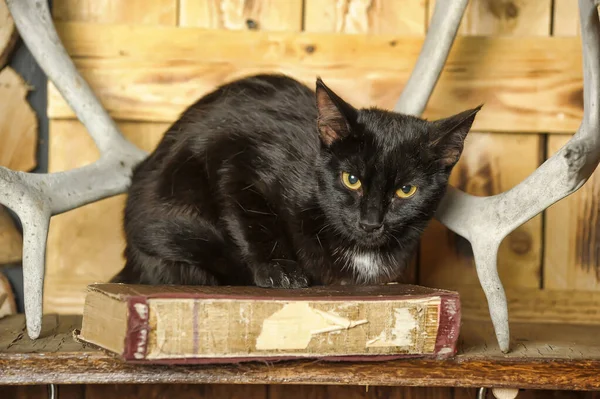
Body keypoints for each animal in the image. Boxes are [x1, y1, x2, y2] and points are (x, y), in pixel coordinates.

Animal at [110, 74, 480, 288]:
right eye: (351, 179)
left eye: (406, 190)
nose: (370, 222)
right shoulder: (236, 159)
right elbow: (252, 219)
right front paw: (277, 269)